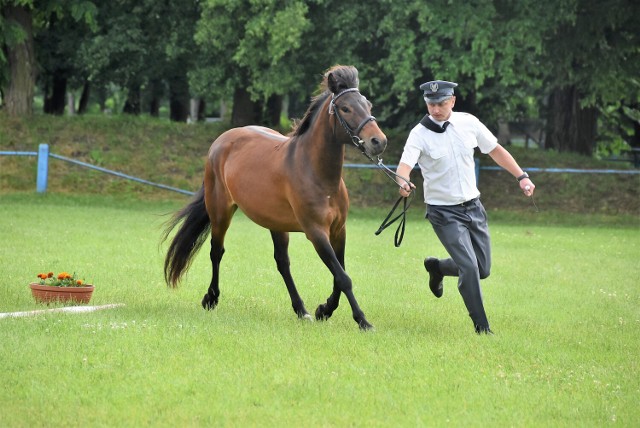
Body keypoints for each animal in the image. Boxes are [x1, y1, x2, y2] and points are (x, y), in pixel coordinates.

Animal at [162, 65, 388, 330]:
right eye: (345, 108)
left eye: (368, 104)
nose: (378, 142)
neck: (316, 173)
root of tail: (221, 141)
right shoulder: (316, 232)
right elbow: (343, 277)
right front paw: (362, 321)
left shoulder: (338, 230)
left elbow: (338, 274)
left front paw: (324, 309)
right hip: (220, 213)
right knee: (216, 252)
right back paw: (212, 297)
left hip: (276, 224)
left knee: (282, 262)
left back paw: (301, 310)